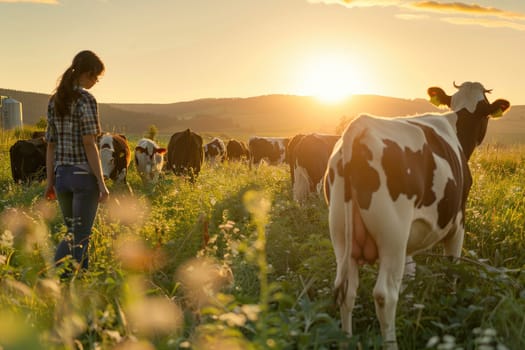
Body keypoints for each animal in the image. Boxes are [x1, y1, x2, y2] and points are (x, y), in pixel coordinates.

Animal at [322, 81, 510, 348]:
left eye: (482, 108)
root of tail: (357, 130)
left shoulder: (409, 243)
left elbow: (409, 278)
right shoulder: (458, 222)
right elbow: (452, 270)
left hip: (340, 234)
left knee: (347, 291)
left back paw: (346, 340)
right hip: (393, 236)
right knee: (385, 295)